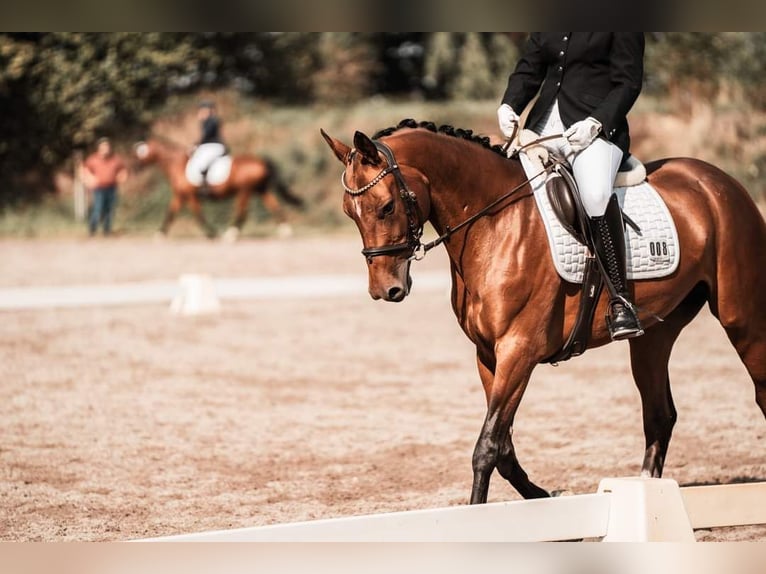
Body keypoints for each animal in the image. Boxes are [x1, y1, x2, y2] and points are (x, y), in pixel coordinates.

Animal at [135, 137, 304, 241]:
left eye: (140, 154)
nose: (134, 168)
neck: (178, 164)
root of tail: (261, 161)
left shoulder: (190, 196)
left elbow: (198, 215)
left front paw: (212, 234)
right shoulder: (180, 196)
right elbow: (170, 213)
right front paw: (159, 234)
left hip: (245, 191)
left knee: (242, 212)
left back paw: (230, 235)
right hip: (261, 190)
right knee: (275, 207)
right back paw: (286, 232)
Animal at [322, 120, 766, 504]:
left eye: (386, 207)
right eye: (349, 212)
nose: (385, 289)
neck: (494, 224)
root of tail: (719, 181)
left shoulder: (519, 351)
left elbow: (486, 447)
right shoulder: (489, 355)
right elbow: (503, 448)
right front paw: (543, 499)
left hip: (742, 318)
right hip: (654, 335)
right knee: (660, 414)